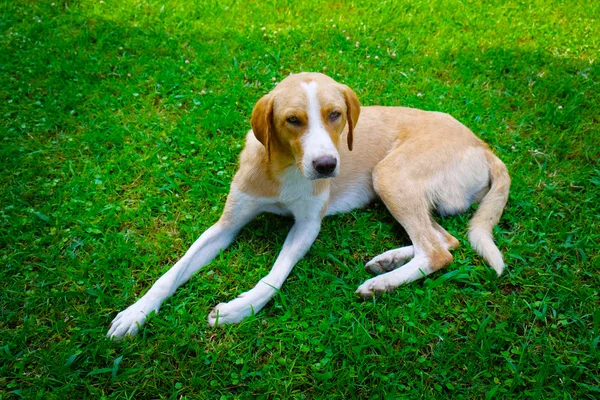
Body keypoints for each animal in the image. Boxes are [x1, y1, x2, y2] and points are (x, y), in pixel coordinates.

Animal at [106, 71, 506, 338]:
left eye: (335, 114)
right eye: (293, 120)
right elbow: (172, 273)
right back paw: (388, 261)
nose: (327, 166)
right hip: (394, 184)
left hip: (390, 175)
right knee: (445, 241)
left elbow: (275, 275)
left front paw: (239, 308)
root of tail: (483, 146)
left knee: (438, 252)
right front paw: (136, 313)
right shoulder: (225, 226)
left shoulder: (307, 225)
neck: (285, 168)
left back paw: (382, 283)